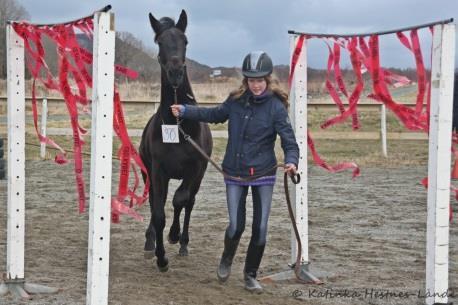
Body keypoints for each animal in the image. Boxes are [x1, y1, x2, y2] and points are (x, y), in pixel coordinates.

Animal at [139, 10, 212, 270]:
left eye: (185, 41)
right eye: (159, 42)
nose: (175, 73)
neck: (178, 125)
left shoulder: (195, 169)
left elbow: (180, 200)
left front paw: (174, 235)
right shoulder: (158, 171)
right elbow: (158, 212)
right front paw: (160, 257)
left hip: (197, 178)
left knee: (188, 203)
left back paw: (182, 243)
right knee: (154, 202)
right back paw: (150, 242)